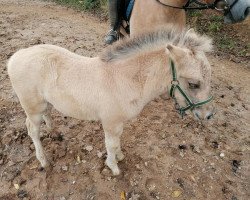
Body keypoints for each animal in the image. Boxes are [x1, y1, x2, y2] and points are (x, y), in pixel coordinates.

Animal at [8, 27, 214, 175]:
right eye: (194, 84)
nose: (208, 115)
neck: (123, 78)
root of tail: (14, 57)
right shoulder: (110, 122)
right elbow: (111, 144)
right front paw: (114, 167)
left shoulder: (118, 123)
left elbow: (117, 142)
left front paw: (120, 156)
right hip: (33, 108)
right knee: (32, 130)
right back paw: (43, 160)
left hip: (45, 103)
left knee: (48, 114)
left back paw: (53, 131)